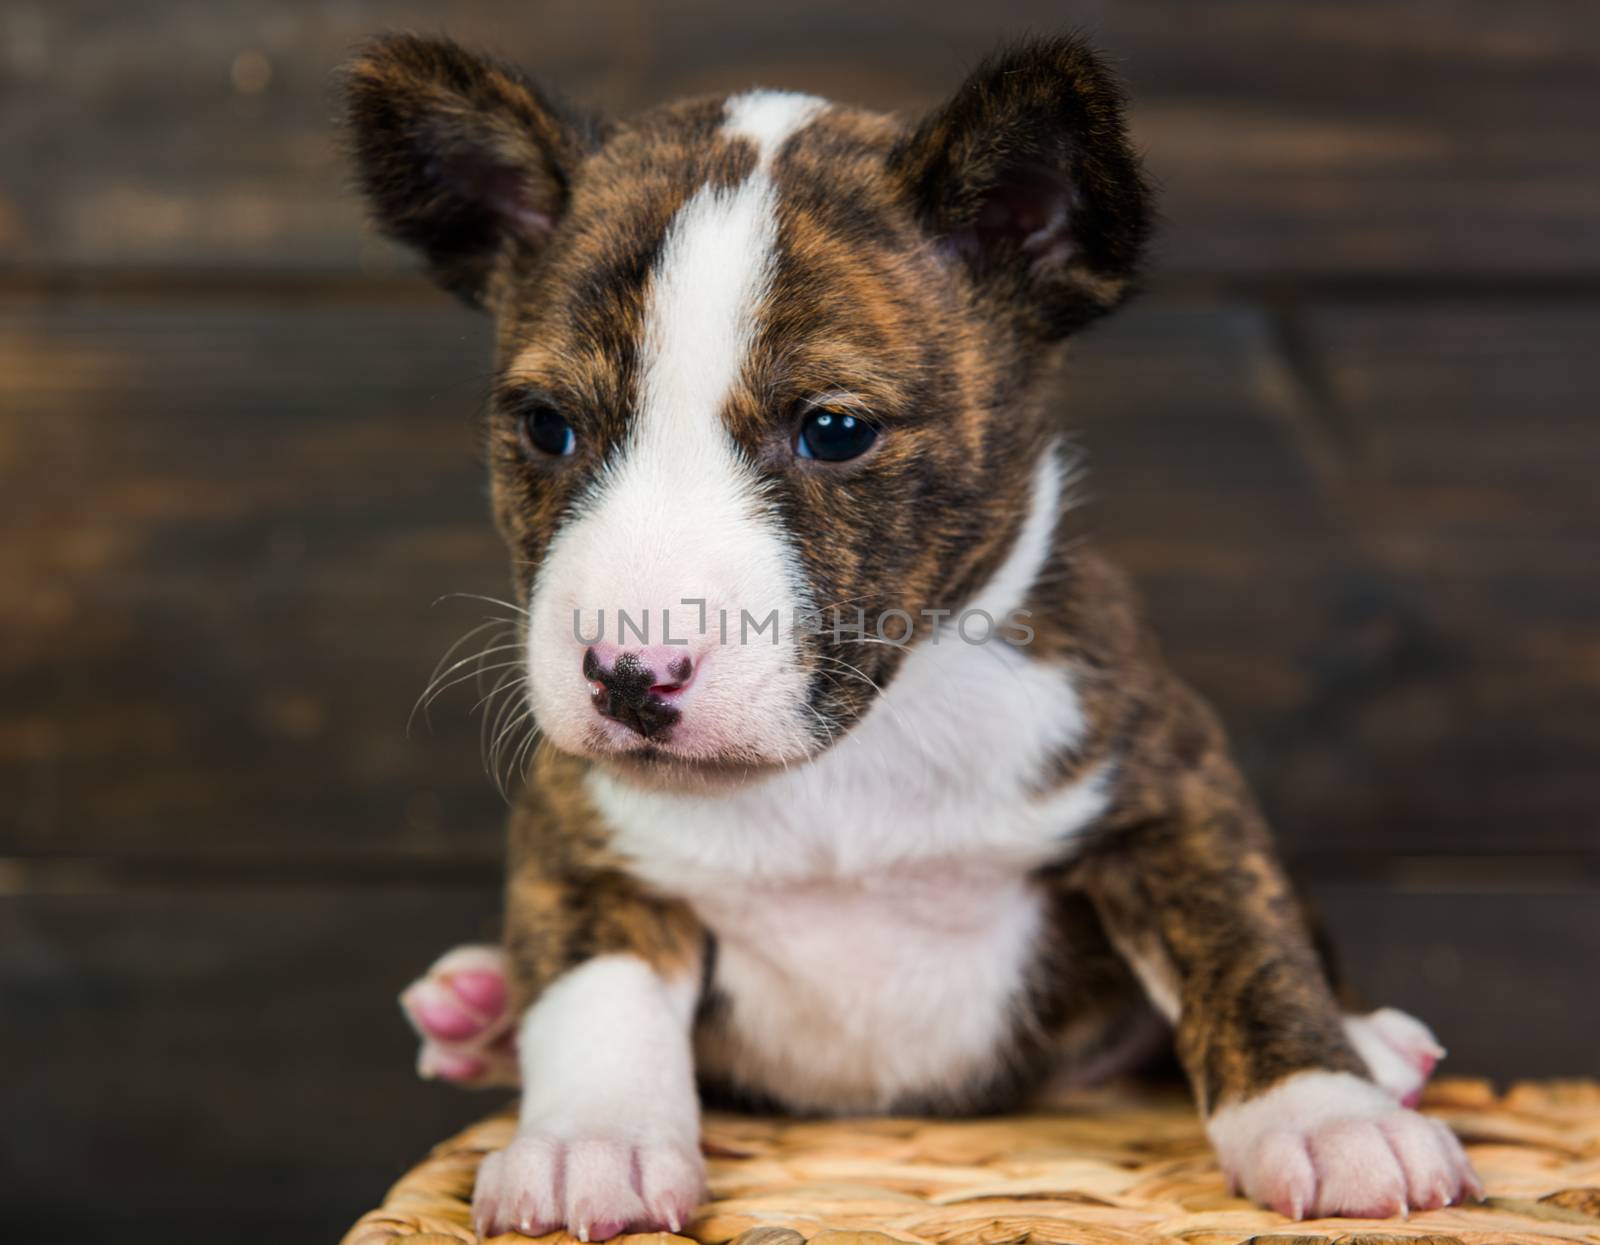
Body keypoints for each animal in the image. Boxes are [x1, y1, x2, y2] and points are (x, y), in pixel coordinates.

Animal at [344, 34, 1478, 1235]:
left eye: (835, 430)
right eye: (546, 428)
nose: (629, 678)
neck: (851, 756)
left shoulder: (1165, 781)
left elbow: (1241, 938)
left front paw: (1327, 1114)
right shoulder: (583, 836)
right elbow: (591, 988)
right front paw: (587, 1142)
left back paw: (1373, 1050)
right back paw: (479, 1009)